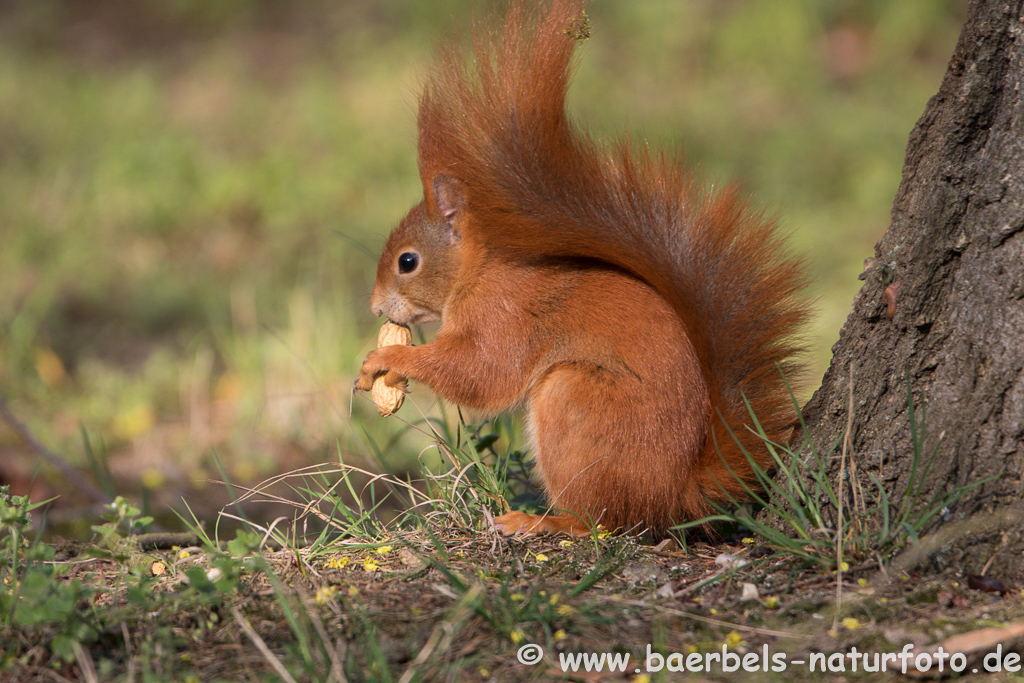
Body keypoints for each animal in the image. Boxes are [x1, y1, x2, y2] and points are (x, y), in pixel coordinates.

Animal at [354, 0, 806, 540]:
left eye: (408, 261)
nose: (374, 307)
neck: (479, 269)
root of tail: (675, 493)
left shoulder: (504, 312)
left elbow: (481, 373)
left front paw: (387, 361)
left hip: (574, 402)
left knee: (599, 521)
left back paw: (537, 520)